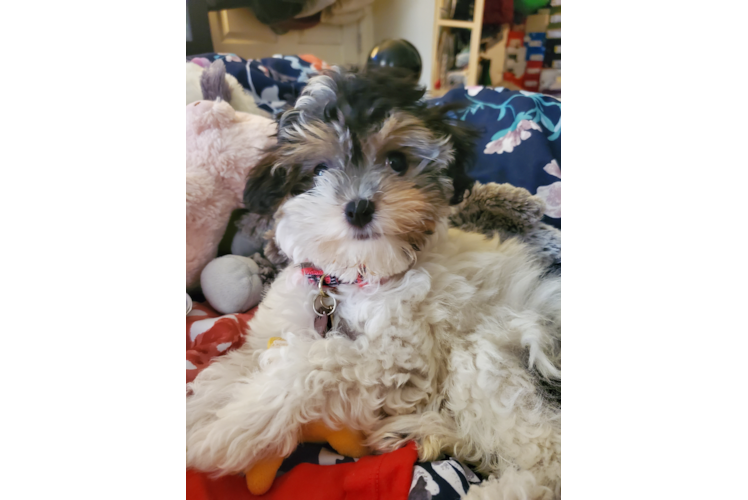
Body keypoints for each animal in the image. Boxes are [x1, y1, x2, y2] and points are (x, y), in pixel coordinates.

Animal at [187, 67, 560, 500]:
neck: (350, 278)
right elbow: (231, 368)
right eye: (318, 170)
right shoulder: (275, 325)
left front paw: (231, 426)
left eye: (397, 161)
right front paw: (203, 409)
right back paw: (420, 432)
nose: (359, 207)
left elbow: (314, 362)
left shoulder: (398, 361)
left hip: (499, 349)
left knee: (543, 462)